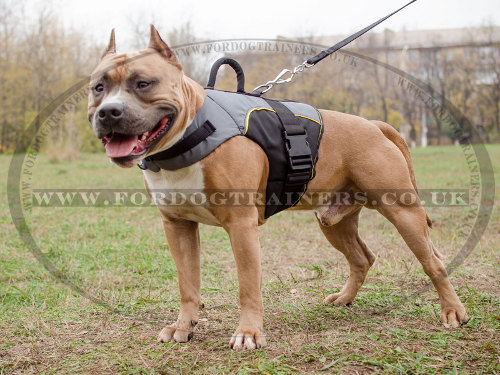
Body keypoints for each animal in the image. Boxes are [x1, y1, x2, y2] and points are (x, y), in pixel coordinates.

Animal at [89, 25, 468, 350]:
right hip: (333, 220)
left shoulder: (241, 227)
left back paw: (453, 311)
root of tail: (374, 124)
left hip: (402, 210)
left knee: (433, 261)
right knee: (362, 258)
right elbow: (188, 284)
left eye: (143, 83)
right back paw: (344, 299)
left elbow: (247, 285)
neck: (190, 135)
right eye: (98, 87)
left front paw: (248, 334)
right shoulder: (177, 226)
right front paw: (183, 326)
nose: (109, 112)